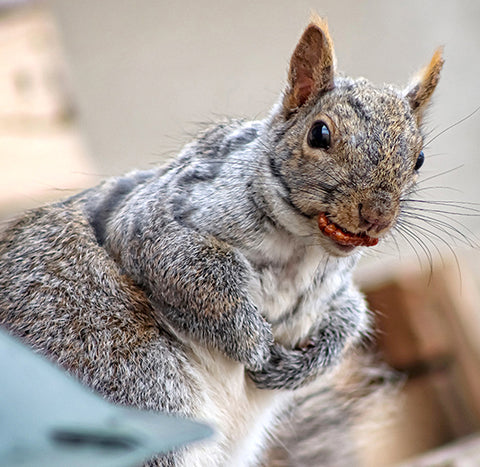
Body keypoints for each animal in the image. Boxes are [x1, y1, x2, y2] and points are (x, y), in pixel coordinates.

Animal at [0, 16, 442, 466]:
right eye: (319, 134)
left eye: (420, 159)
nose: (377, 215)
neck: (303, 247)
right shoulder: (154, 222)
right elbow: (194, 279)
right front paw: (255, 344)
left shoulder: (335, 290)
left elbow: (350, 315)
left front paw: (304, 365)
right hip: (130, 381)